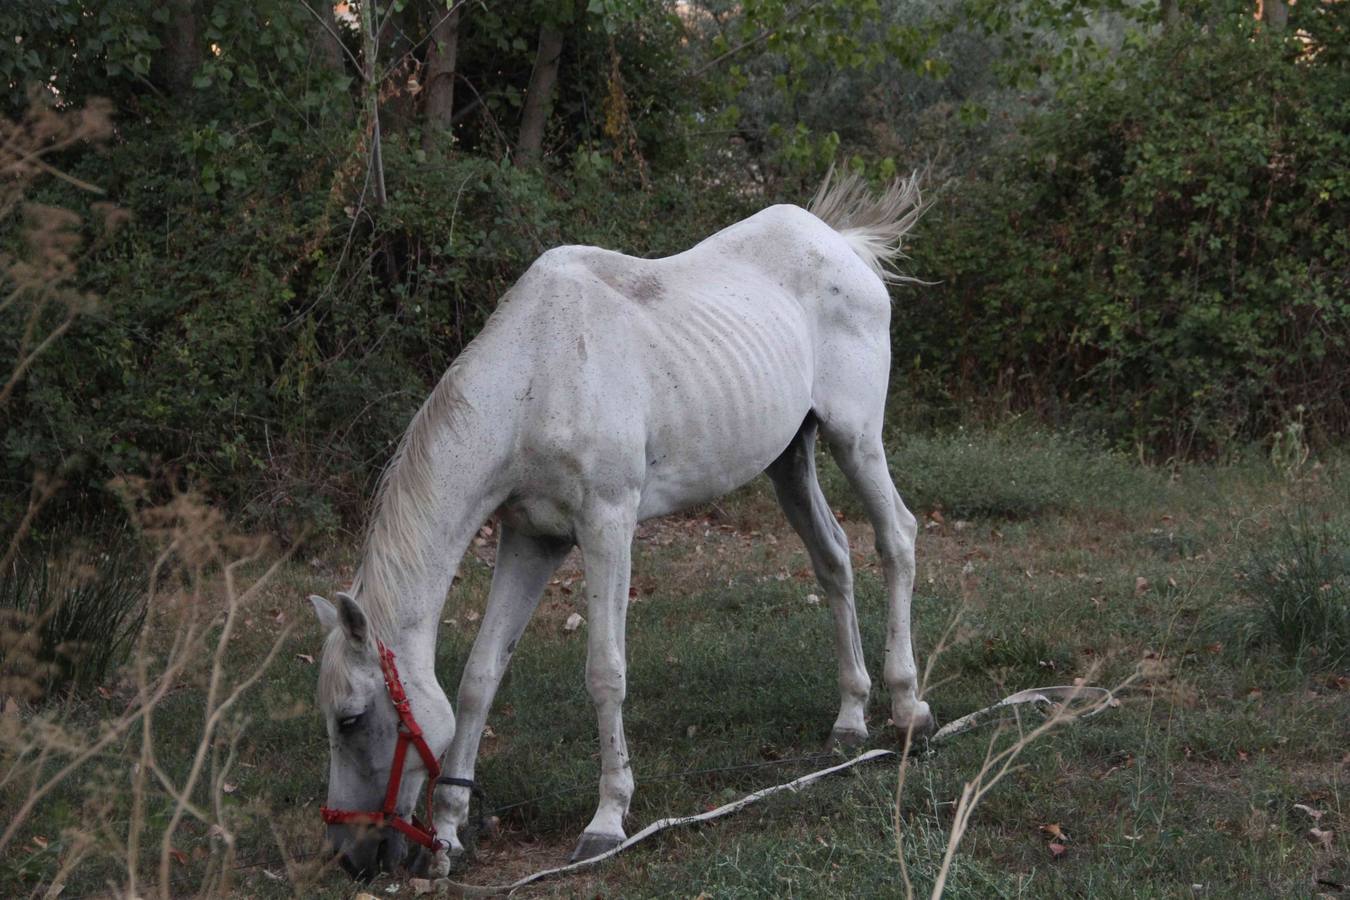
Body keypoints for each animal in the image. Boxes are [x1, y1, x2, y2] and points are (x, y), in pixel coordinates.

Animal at [309, 170, 934, 879]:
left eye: (352, 719)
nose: (349, 857)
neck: (537, 376)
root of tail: (841, 246)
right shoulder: (532, 539)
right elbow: (478, 679)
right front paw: (446, 833)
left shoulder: (607, 526)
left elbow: (605, 673)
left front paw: (607, 821)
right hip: (790, 461)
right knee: (834, 559)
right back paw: (850, 719)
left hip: (855, 439)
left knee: (897, 539)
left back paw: (908, 706)